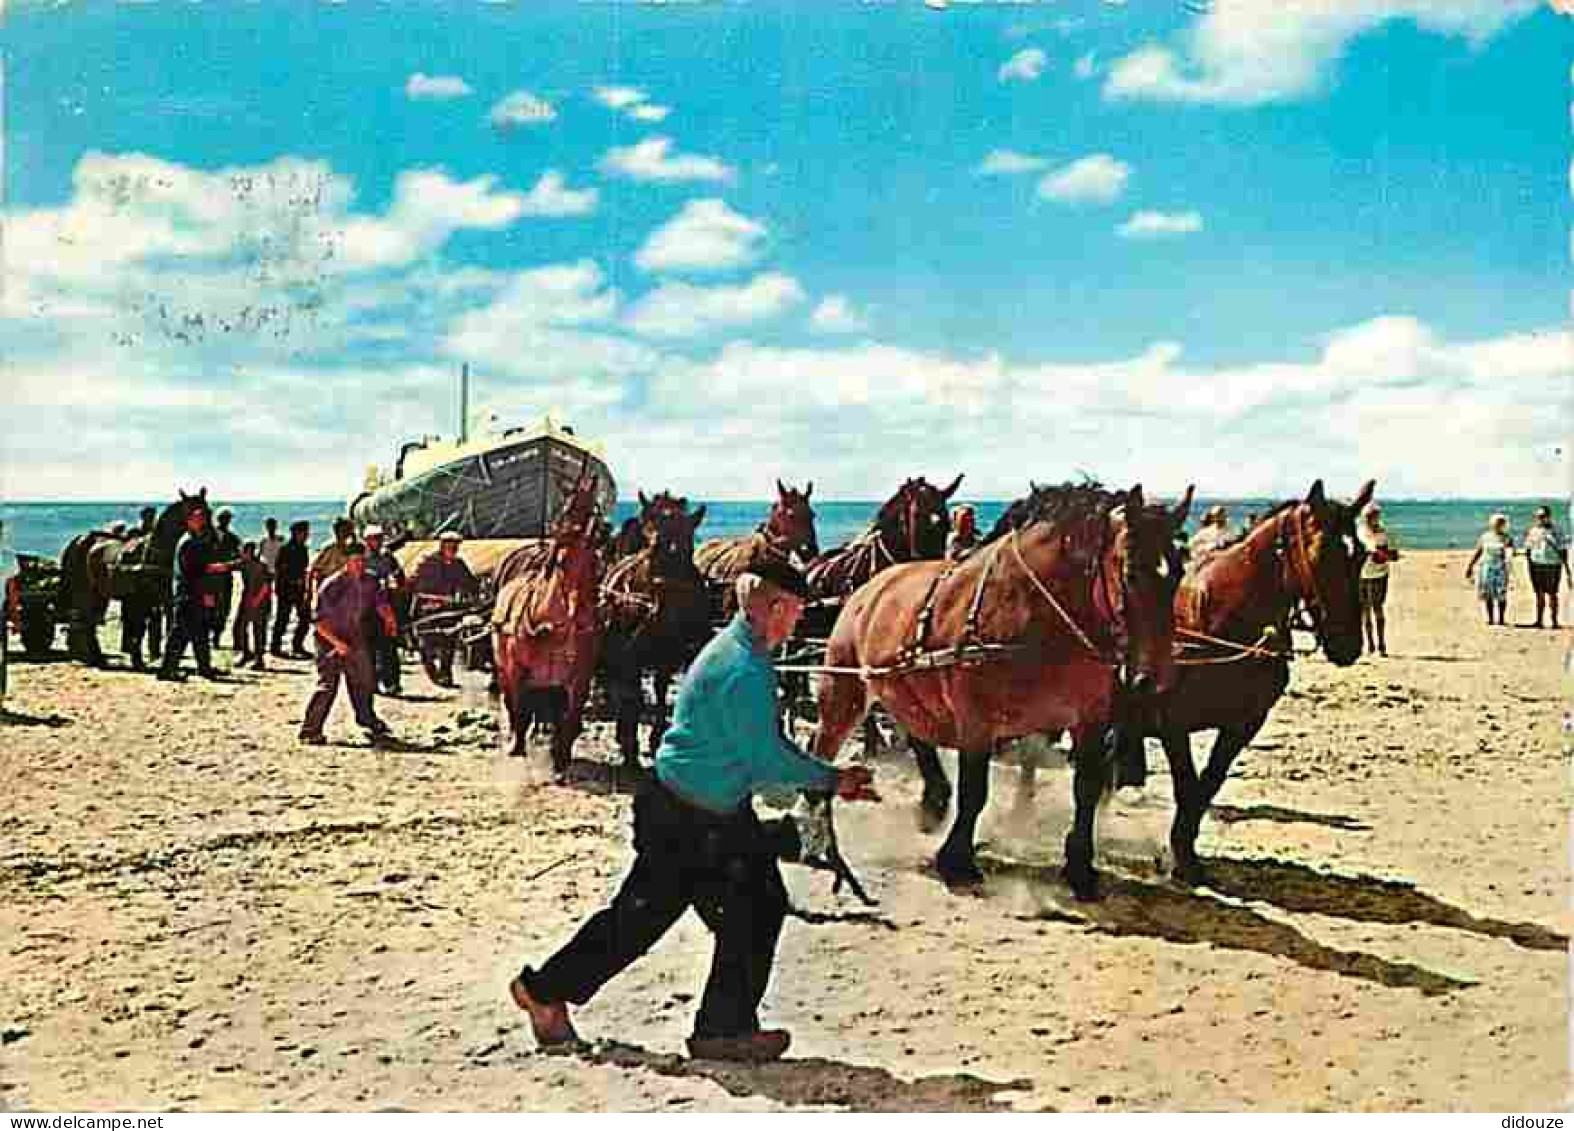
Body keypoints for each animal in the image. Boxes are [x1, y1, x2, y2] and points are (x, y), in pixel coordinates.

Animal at [494, 465, 604, 773]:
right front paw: (517, 746)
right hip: (504, 665)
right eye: (566, 506)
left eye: (596, 560)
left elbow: (570, 715)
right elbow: (519, 708)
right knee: (512, 699)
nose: (582, 618)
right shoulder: (517, 668)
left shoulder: (579, 676)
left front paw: (561, 757)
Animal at [598, 487, 711, 764]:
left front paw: (656, 737)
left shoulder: (669, 656)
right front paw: (630, 747)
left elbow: (660, 692)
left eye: (687, 545)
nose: (659, 608)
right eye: (652, 548)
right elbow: (634, 696)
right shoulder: (630, 653)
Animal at [812, 487, 1189, 899]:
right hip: (844, 689)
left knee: (916, 733)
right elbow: (974, 792)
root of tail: (868, 588)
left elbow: (1086, 789)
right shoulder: (977, 721)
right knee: (824, 744)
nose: (1154, 677)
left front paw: (1079, 867)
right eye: (1130, 574)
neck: (1038, 615)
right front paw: (957, 861)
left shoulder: (1089, 719)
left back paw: (933, 799)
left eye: (1179, 573)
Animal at [1126, 475, 1372, 887]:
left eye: (1362, 556)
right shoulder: (1172, 723)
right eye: (1322, 554)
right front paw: (1181, 860)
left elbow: (1208, 784)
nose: (1348, 643)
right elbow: (1187, 785)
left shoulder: (1242, 724)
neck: (1217, 619)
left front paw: (1185, 853)